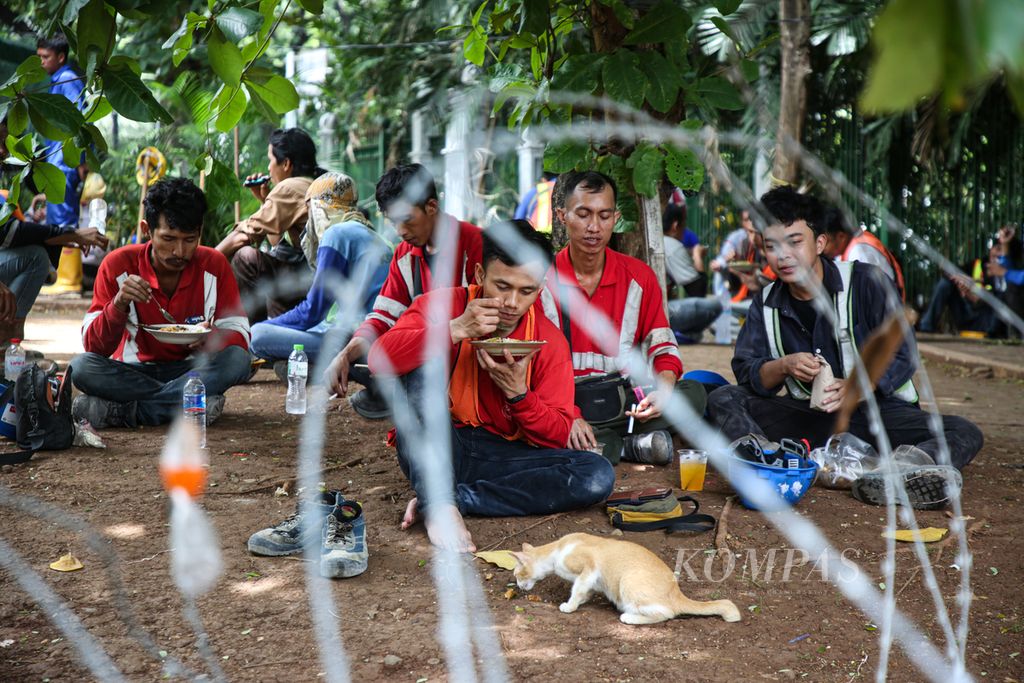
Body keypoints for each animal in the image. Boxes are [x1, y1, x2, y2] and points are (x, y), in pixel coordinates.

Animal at [516, 532, 741, 626]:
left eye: (517, 575)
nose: (517, 586)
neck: (556, 550)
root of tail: (677, 593)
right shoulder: (591, 579)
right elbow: (585, 590)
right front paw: (582, 600)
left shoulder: (589, 567)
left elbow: (577, 589)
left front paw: (570, 606)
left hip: (628, 582)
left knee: (666, 613)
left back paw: (630, 617)